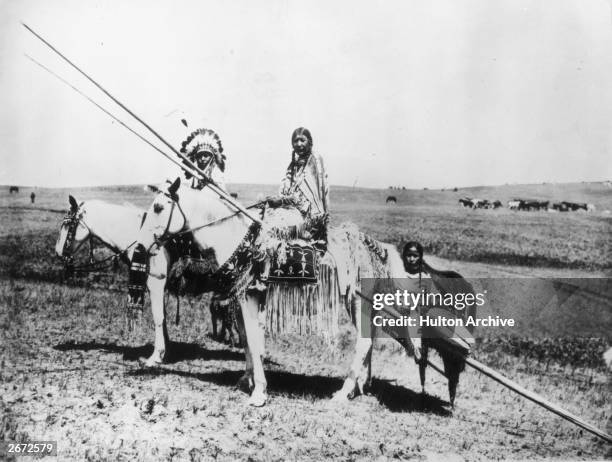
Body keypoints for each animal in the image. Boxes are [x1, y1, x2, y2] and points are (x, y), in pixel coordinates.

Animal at [136, 179, 408, 406]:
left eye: (158, 207)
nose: (140, 245)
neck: (237, 239)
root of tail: (377, 248)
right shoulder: (242, 297)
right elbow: (246, 338)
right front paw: (246, 380)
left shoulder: (249, 296)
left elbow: (254, 340)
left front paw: (259, 392)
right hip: (360, 303)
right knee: (369, 338)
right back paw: (361, 386)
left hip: (356, 300)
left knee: (364, 341)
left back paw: (344, 392)